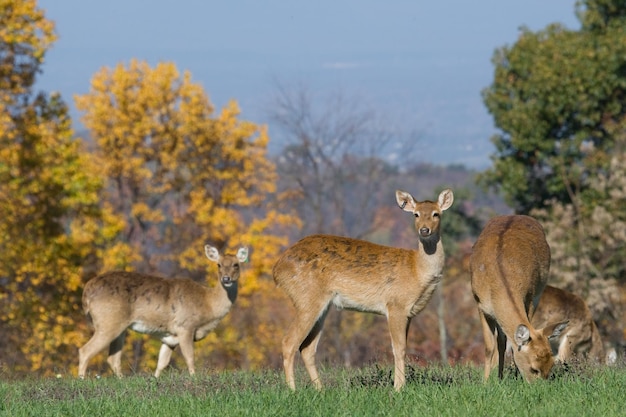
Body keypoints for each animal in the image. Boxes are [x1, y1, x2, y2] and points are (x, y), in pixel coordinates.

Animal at [75, 244, 246, 376]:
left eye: (236, 265)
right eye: (219, 264)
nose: (226, 279)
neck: (207, 303)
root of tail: (86, 292)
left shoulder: (169, 337)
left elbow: (161, 363)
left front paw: (155, 381)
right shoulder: (185, 326)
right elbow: (190, 359)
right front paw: (194, 380)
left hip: (119, 327)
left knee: (113, 359)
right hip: (108, 321)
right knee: (85, 351)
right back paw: (82, 381)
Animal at [272, 188, 454, 390]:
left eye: (436, 214)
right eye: (416, 214)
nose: (424, 230)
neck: (417, 270)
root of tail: (277, 270)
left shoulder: (409, 313)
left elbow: (403, 347)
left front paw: (399, 385)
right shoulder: (395, 305)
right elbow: (398, 348)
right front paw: (398, 388)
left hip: (321, 305)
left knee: (307, 348)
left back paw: (320, 389)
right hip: (306, 297)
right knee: (288, 342)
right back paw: (293, 390)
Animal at [468, 214, 564, 380]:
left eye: (552, 364)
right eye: (534, 368)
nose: (543, 385)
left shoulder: (530, 297)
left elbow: (513, 346)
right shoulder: (480, 304)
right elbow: (489, 347)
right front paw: (485, 382)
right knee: (501, 341)